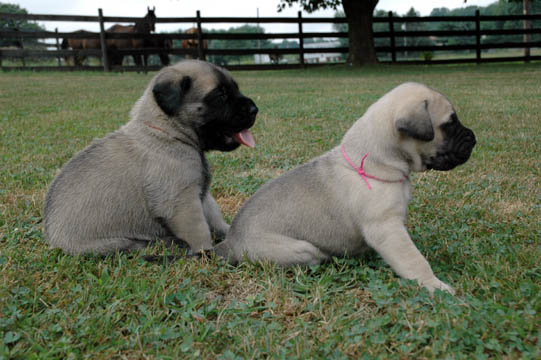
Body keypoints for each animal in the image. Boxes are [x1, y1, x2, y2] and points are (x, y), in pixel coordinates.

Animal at [42, 60, 258, 258]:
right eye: (220, 95)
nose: (254, 109)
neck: (167, 132)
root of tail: (53, 238)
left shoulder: (200, 196)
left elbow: (214, 218)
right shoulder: (182, 202)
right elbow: (199, 230)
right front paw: (207, 253)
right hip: (116, 243)